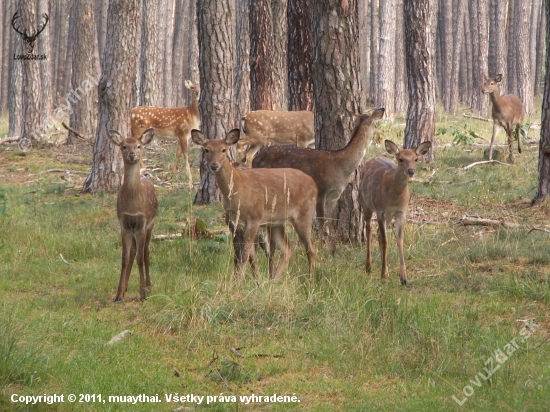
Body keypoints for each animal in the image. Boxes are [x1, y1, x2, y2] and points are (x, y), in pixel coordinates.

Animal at [108, 127, 158, 300]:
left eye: (138, 146)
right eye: (124, 146)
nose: (131, 154)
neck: (133, 205)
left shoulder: (142, 224)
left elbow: (140, 259)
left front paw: (143, 293)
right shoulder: (124, 225)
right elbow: (124, 258)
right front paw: (118, 294)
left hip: (151, 224)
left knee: (146, 252)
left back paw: (149, 287)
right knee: (133, 253)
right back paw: (125, 289)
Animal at [192, 129, 320, 284]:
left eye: (224, 149)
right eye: (206, 149)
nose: (214, 165)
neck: (238, 191)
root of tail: (313, 183)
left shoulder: (254, 219)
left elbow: (245, 256)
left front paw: (238, 283)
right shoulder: (235, 225)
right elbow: (248, 257)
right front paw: (253, 282)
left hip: (304, 214)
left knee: (311, 247)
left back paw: (311, 281)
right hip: (276, 223)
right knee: (287, 249)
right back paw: (273, 281)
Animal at [252, 108, 386, 246]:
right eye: (374, 124)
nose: (378, 130)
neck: (340, 166)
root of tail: (254, 160)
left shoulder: (335, 195)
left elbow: (330, 221)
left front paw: (332, 244)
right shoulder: (321, 190)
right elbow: (321, 221)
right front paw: (322, 245)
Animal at [360, 140, 434, 284]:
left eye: (416, 159)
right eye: (400, 159)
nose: (411, 171)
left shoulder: (401, 212)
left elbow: (399, 240)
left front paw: (403, 277)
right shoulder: (381, 211)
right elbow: (385, 241)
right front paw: (383, 276)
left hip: (388, 216)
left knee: (377, 232)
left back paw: (386, 270)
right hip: (366, 203)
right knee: (369, 229)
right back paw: (368, 267)